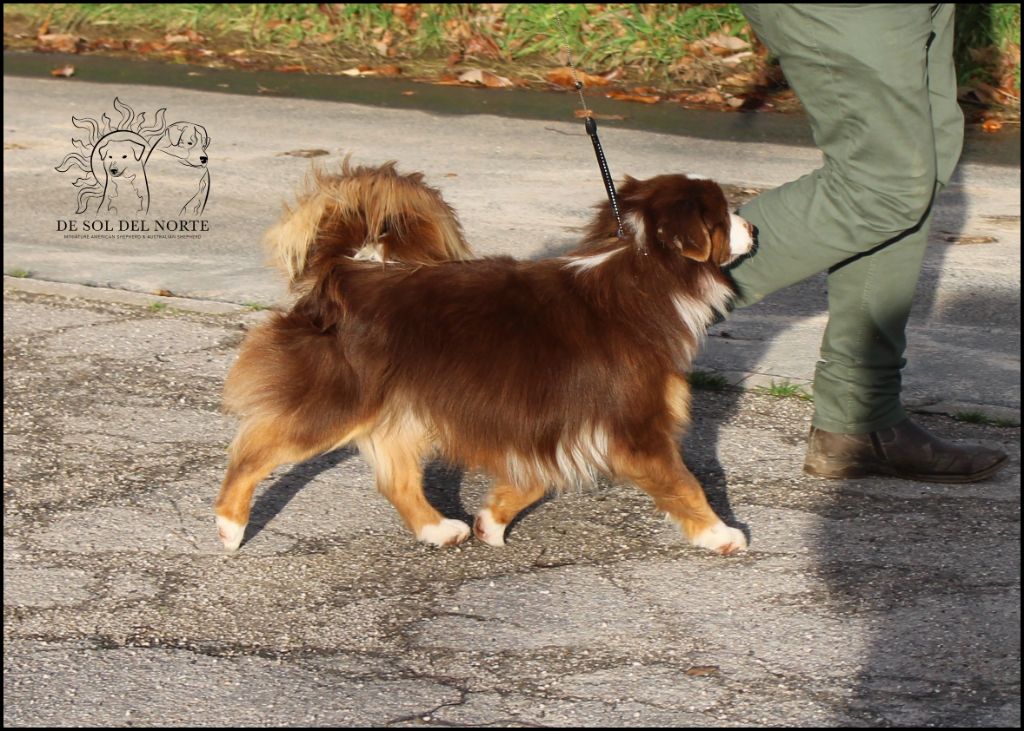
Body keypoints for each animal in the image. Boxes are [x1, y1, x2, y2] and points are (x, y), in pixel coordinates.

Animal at [216, 160, 757, 552]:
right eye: (723, 213)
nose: (753, 227)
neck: (643, 270)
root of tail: (344, 273)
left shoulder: (555, 422)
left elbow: (532, 481)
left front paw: (489, 522)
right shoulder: (637, 426)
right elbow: (685, 482)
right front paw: (721, 534)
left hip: (401, 408)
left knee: (397, 479)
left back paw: (438, 529)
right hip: (339, 399)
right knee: (254, 451)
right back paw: (229, 525)